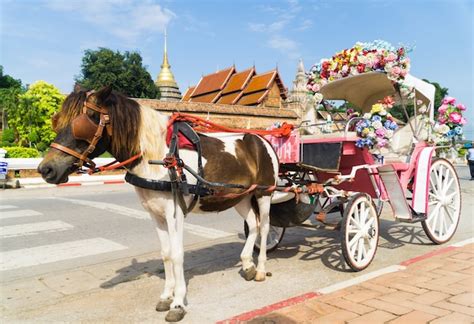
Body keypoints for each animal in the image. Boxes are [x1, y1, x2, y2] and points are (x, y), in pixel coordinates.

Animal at [39, 86, 282, 322]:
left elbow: (177, 255)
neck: (157, 156)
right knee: (253, 225)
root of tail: (263, 140)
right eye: (57, 120)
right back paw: (247, 264)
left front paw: (178, 303)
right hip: (239, 197)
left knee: (265, 228)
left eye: (85, 121)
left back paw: (261, 268)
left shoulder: (175, 212)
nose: (46, 169)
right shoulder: (155, 213)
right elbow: (166, 254)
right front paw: (167, 295)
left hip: (264, 193)